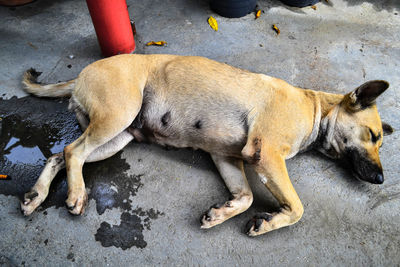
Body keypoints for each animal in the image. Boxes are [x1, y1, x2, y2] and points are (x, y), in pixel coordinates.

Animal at [20, 54, 392, 237]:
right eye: (373, 136)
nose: (381, 180)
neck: (315, 107)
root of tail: (82, 73)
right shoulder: (266, 154)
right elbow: (298, 208)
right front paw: (270, 222)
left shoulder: (227, 157)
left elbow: (245, 197)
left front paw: (222, 213)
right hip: (117, 116)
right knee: (73, 152)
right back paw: (75, 194)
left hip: (118, 135)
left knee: (59, 155)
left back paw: (36, 195)